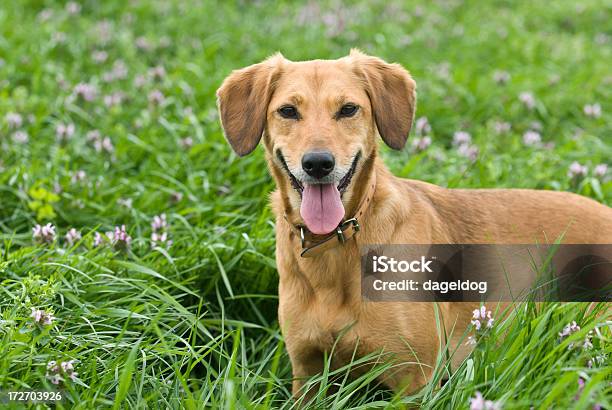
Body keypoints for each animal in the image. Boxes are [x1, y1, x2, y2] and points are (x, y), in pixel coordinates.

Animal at [216, 48, 612, 400]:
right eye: (287, 111)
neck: (336, 246)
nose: (317, 163)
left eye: (348, 109)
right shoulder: (307, 373)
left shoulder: (414, 378)